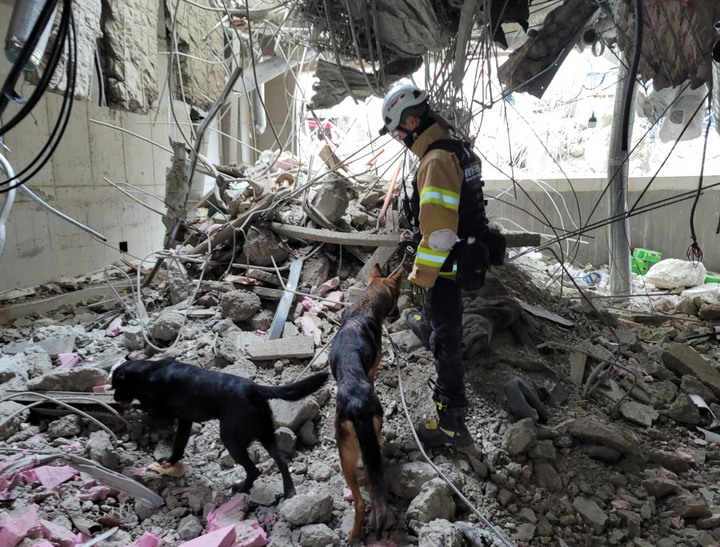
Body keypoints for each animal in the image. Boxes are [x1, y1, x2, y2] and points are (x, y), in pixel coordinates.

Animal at [110, 362, 330, 498]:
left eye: (116, 385)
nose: (114, 398)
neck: (146, 373)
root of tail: (254, 388)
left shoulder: (164, 417)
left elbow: (143, 414)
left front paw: (129, 414)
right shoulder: (185, 421)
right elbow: (179, 446)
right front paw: (171, 461)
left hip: (232, 440)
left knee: (254, 470)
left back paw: (242, 488)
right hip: (265, 435)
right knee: (282, 463)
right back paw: (288, 490)